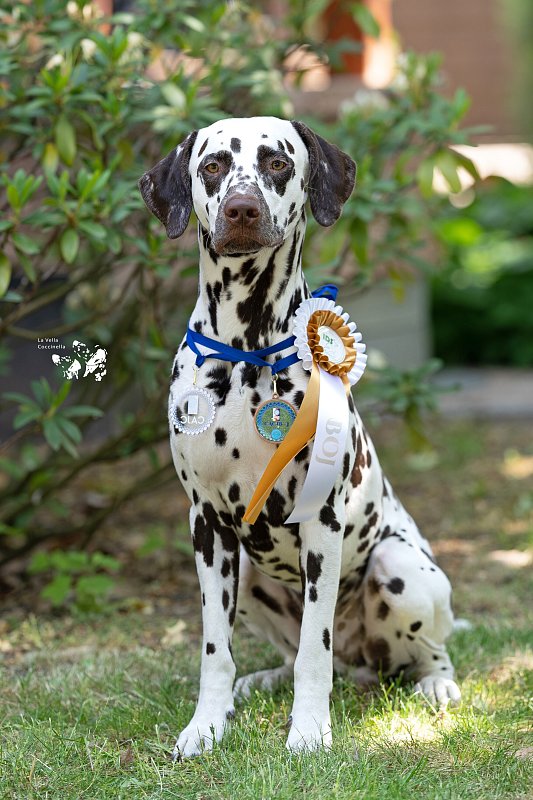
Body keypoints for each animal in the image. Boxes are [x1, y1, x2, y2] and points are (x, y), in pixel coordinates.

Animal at [139, 116, 461, 757]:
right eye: (212, 165)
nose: (240, 208)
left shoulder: (321, 522)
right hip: (250, 577)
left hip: (400, 569)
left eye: (277, 162)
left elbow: (316, 647)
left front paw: (310, 730)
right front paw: (206, 725)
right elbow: (216, 652)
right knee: (290, 657)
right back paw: (260, 681)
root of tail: (365, 663)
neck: (248, 349)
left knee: (420, 653)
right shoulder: (206, 525)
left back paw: (435, 683)